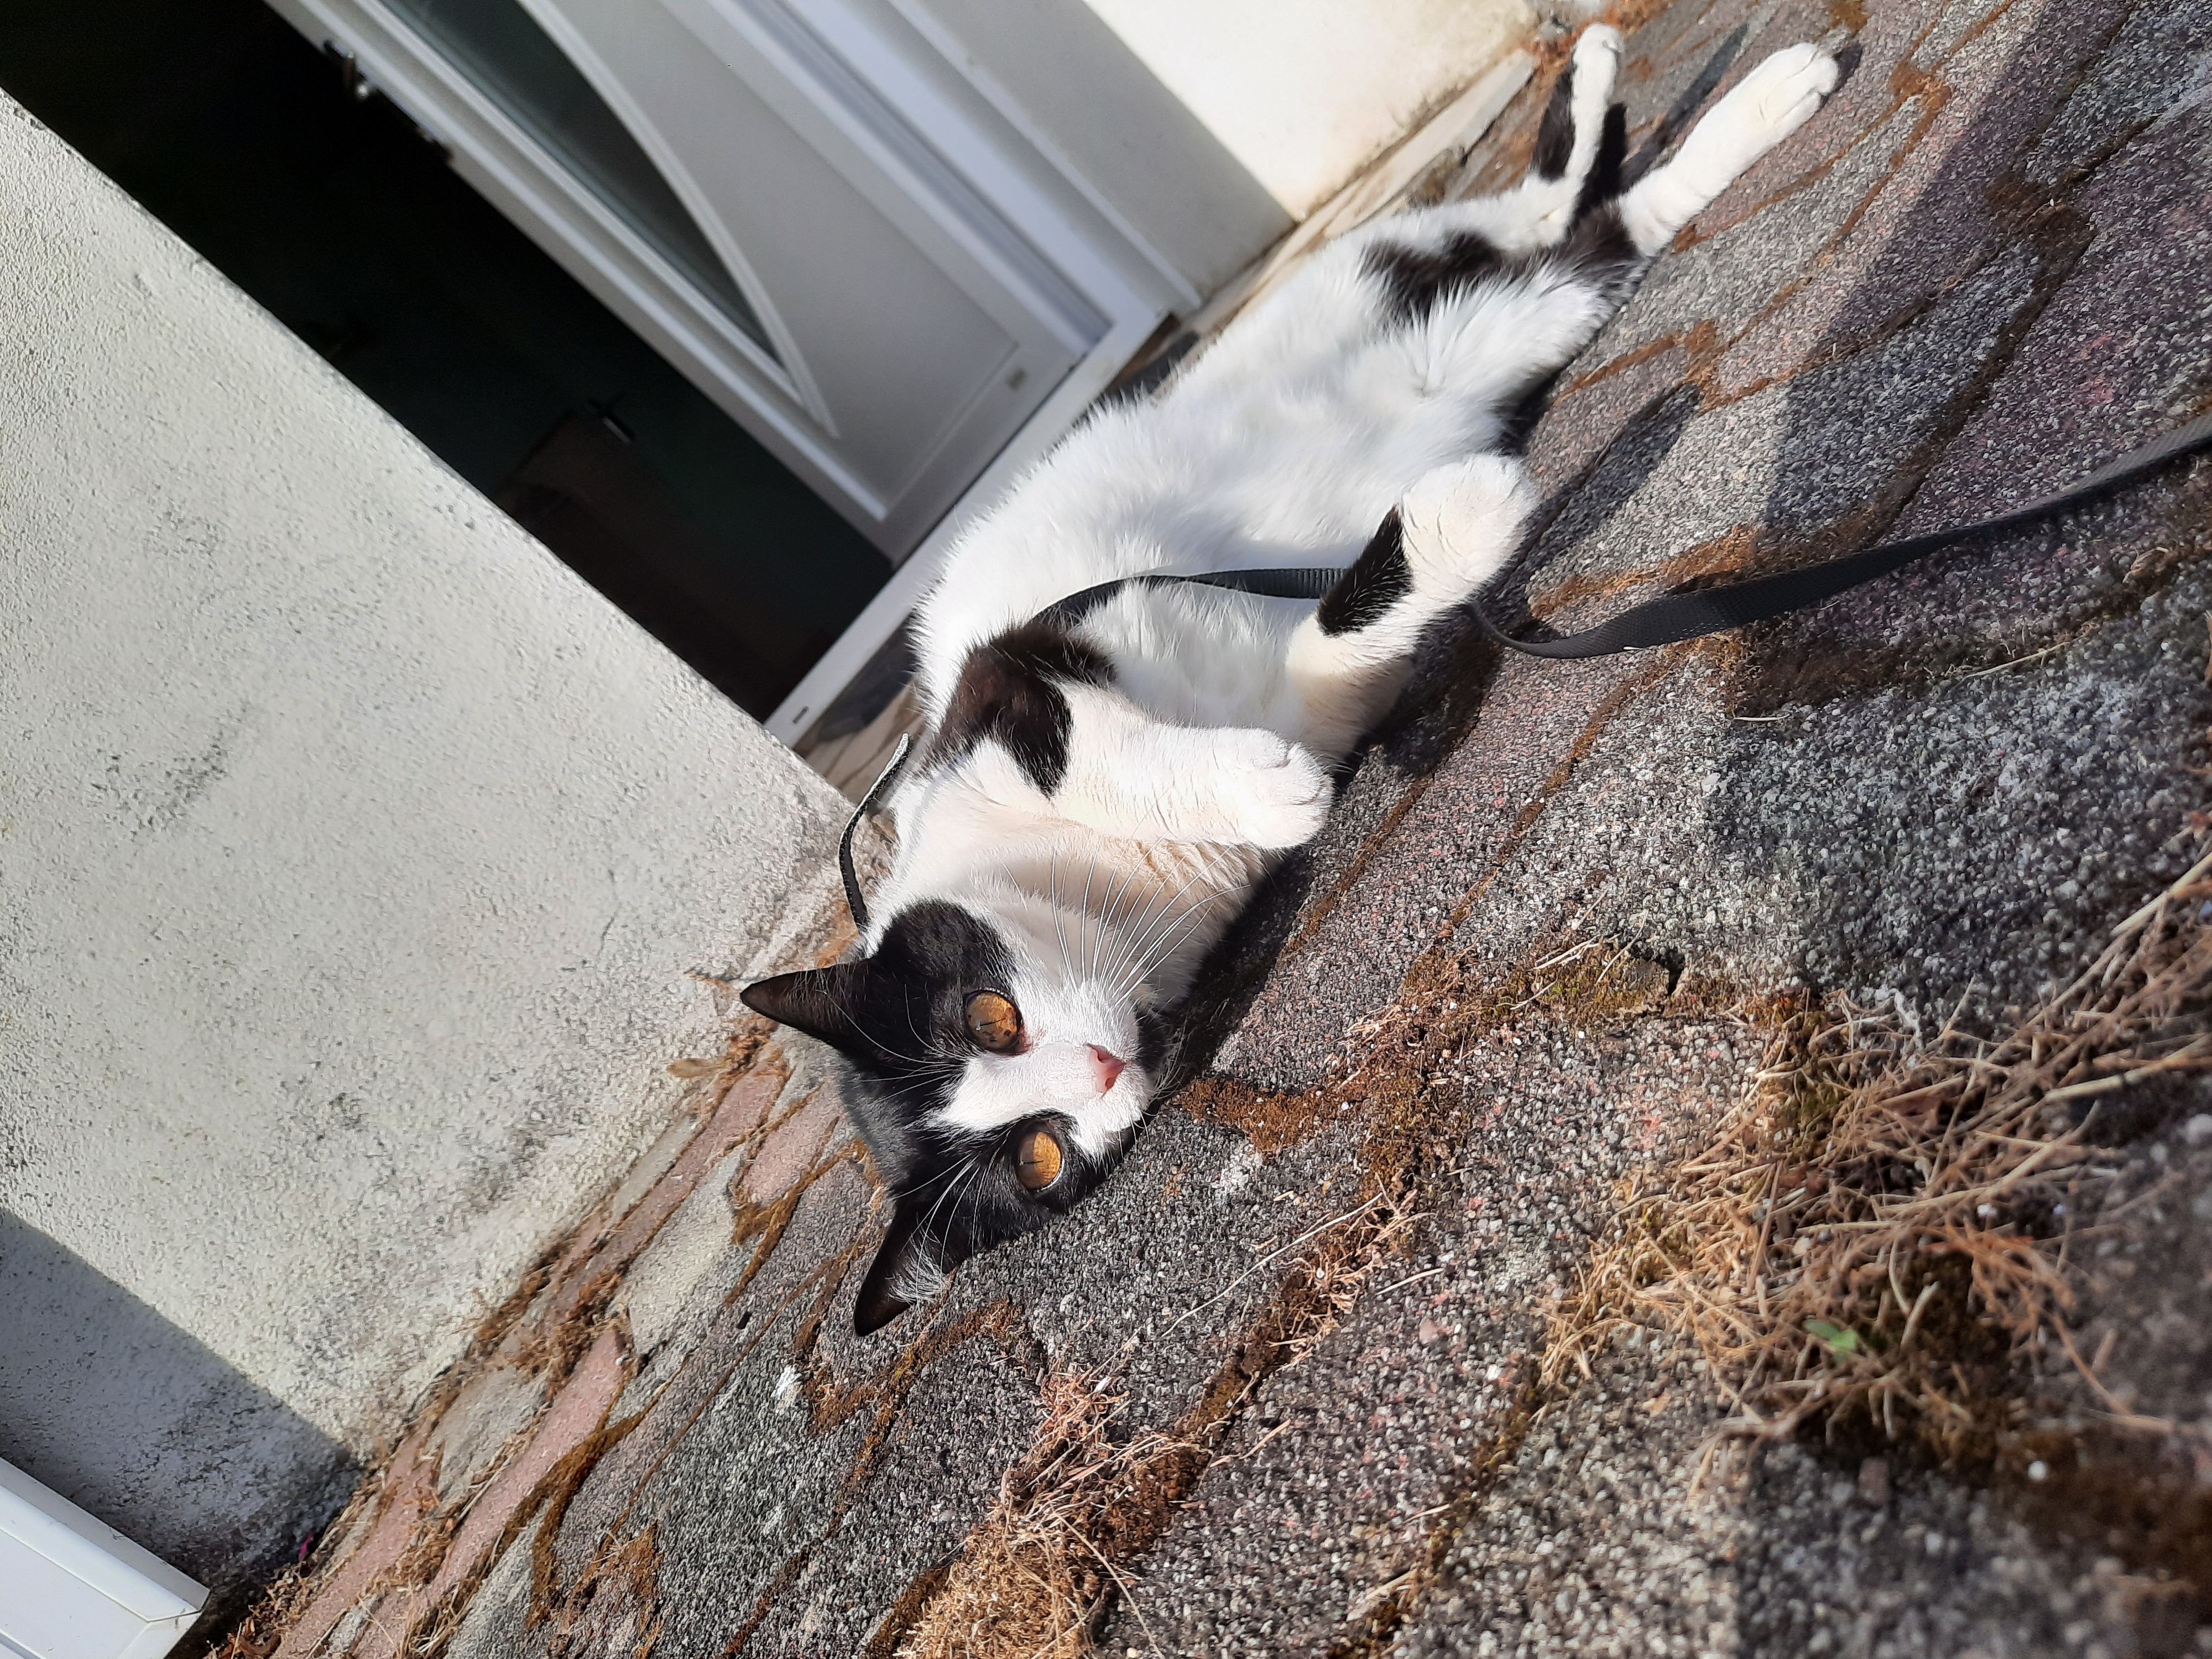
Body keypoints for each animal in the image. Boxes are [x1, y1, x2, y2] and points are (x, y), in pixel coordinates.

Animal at [745, 28, 1840, 1333]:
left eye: (988, 1016)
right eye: (1038, 1157)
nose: (1100, 1069)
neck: (1127, 893)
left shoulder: (1006, 677)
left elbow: (1090, 755)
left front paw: (1264, 774)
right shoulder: (1316, 695)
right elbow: (1341, 634)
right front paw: (1442, 546)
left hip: (1365, 284)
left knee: (1537, 216)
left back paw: (1658, 81)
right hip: (1505, 331)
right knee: (1591, 241)